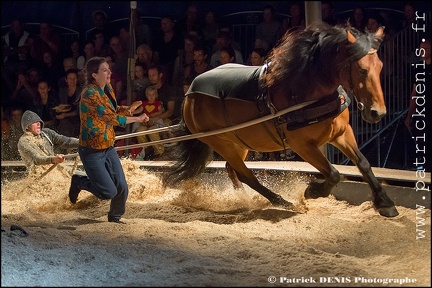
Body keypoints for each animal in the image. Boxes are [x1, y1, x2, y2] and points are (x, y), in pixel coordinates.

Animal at [165, 22, 398, 217]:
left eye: (380, 66)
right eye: (361, 69)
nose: (377, 112)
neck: (307, 93)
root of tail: (189, 94)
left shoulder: (341, 132)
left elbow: (363, 163)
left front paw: (384, 203)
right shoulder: (301, 144)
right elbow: (333, 174)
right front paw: (312, 191)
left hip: (238, 142)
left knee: (233, 170)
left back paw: (244, 198)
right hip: (220, 143)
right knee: (245, 174)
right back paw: (282, 201)